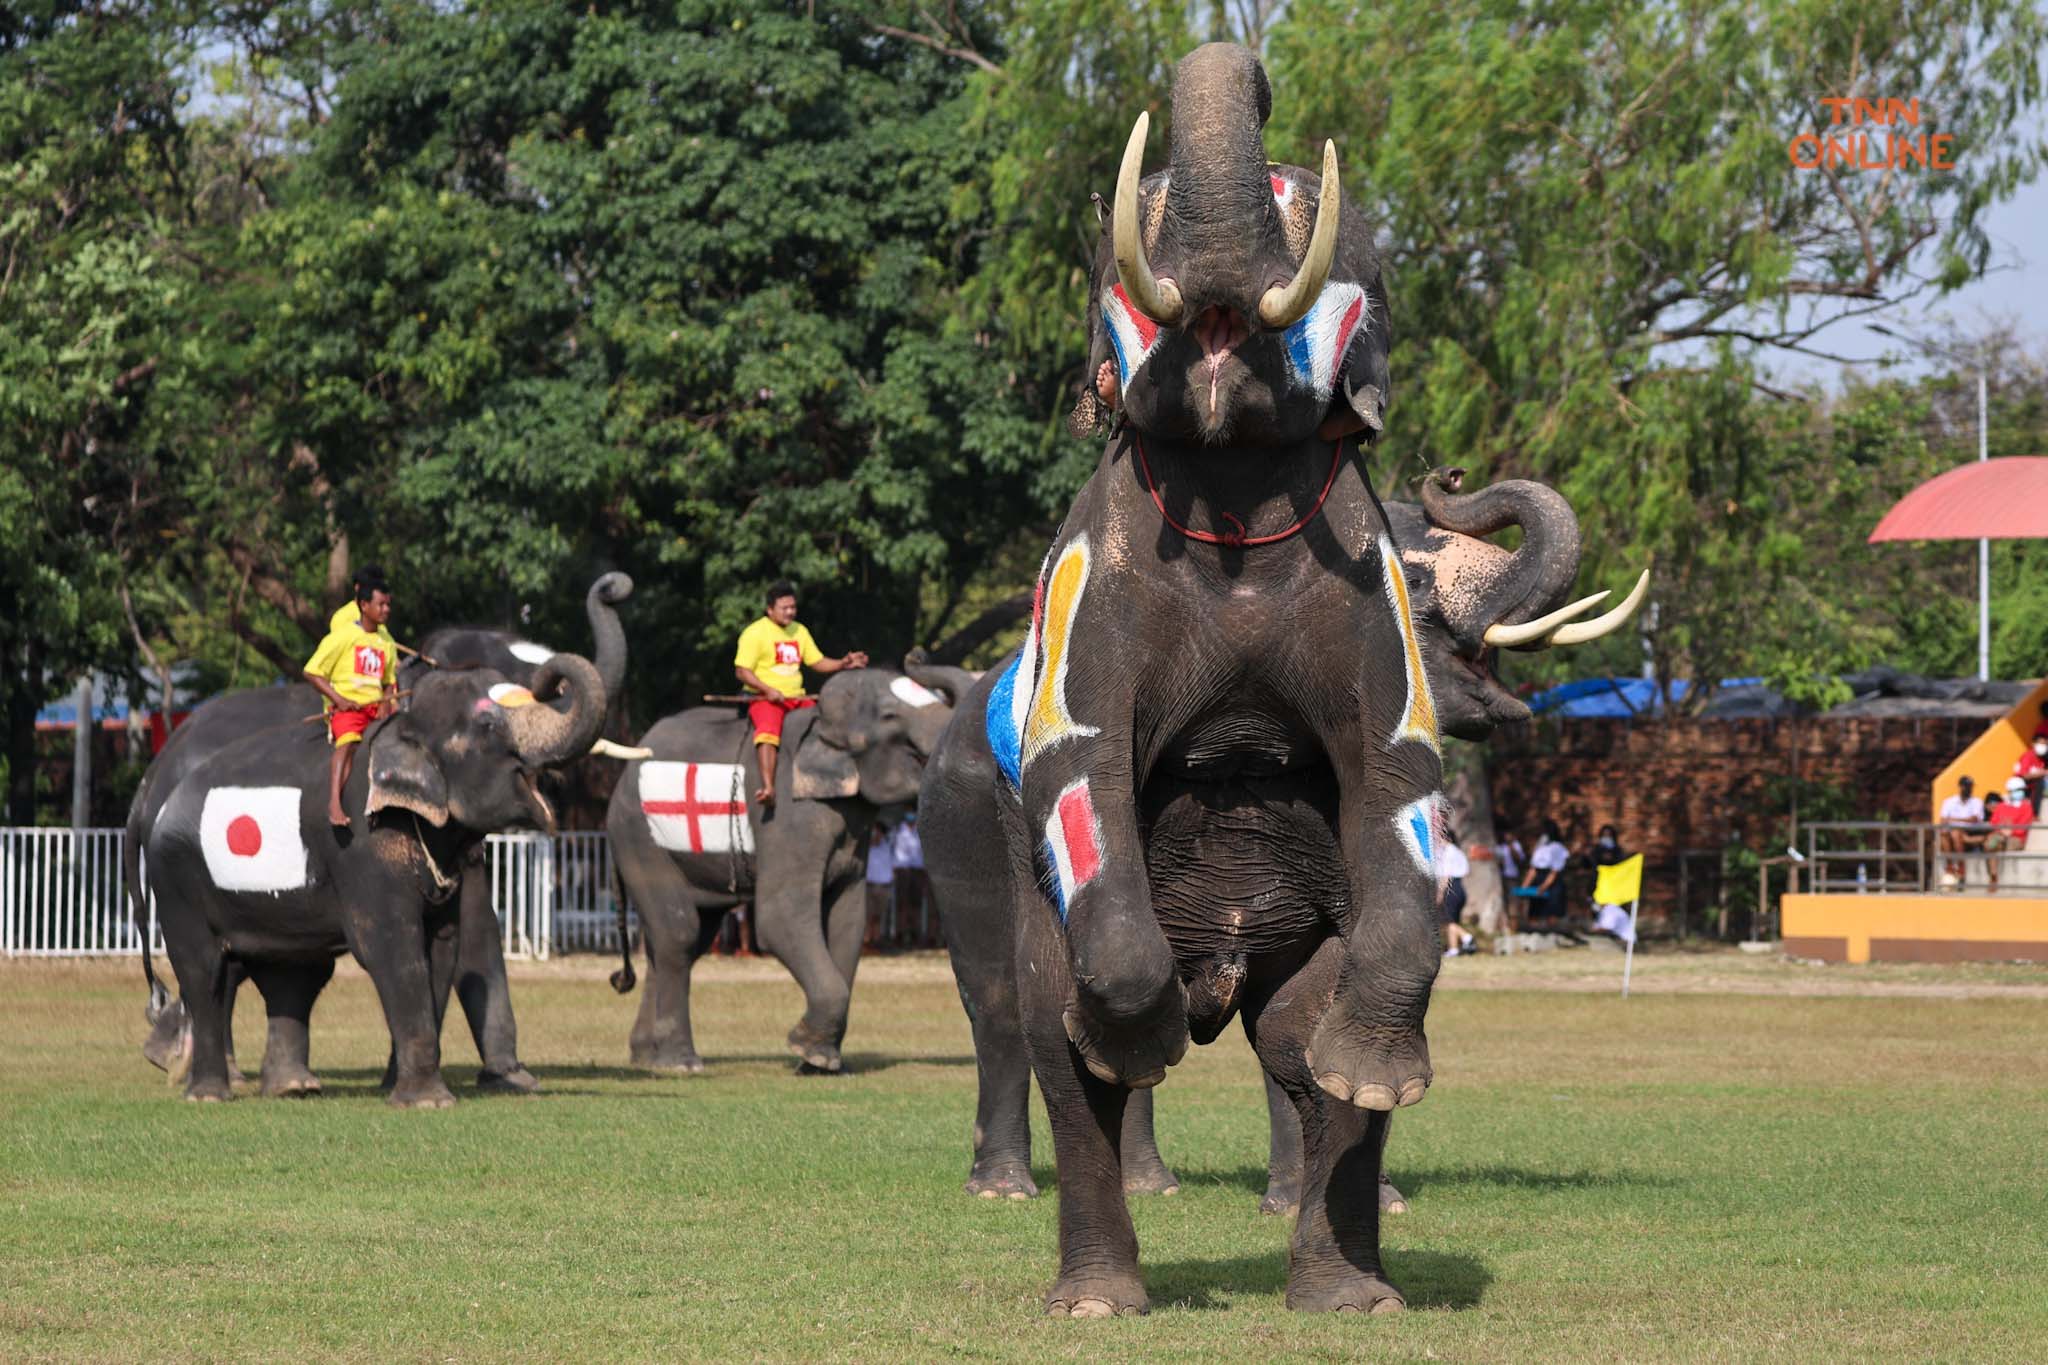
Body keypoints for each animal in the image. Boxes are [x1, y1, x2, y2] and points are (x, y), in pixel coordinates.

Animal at [598, 658, 966, 1080]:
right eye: (891, 717)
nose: (916, 656)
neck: (819, 722)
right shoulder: (788, 817)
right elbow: (780, 919)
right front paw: (810, 1052)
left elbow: (848, 923)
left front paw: (819, 1062)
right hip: (639, 838)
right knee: (679, 933)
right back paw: (681, 1063)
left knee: (677, 941)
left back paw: (646, 1056)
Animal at [921, 45, 1638, 1326]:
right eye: (1141, 217)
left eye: (1321, 225)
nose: (1451, 471)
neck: (1231, 492)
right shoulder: (1089, 590)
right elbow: (1083, 766)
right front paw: (1135, 1027)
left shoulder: (1360, 607)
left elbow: (1390, 778)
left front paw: (1373, 1074)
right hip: (964, 823)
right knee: (1030, 1027)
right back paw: (1088, 1279)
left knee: (1296, 1047)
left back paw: (1348, 1290)